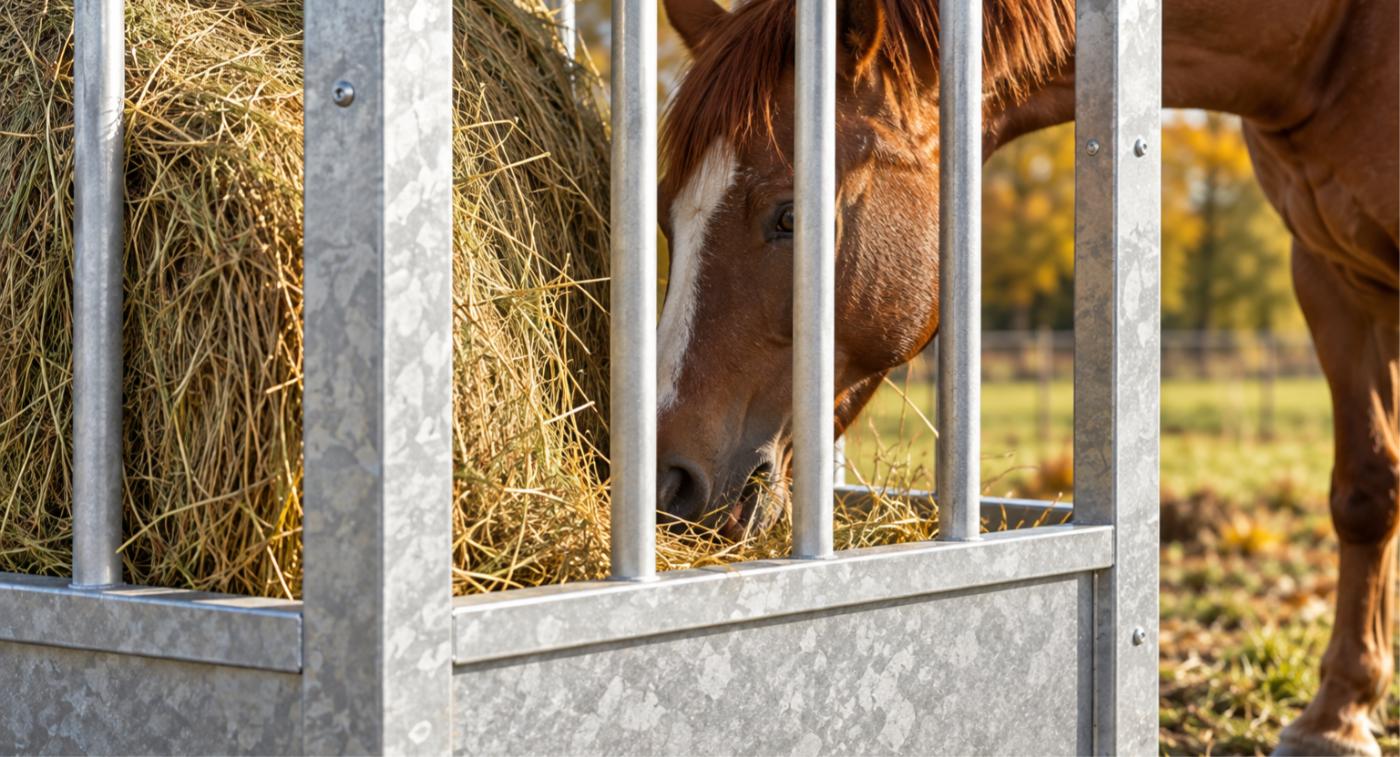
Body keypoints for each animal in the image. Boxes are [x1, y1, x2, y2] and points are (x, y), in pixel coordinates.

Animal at [653, 0, 1398, 753]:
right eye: (664, 218)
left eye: (789, 215)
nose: (664, 482)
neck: (1326, 45)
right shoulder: (1325, 274)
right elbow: (1366, 490)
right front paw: (1339, 713)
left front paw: (1339, 716)